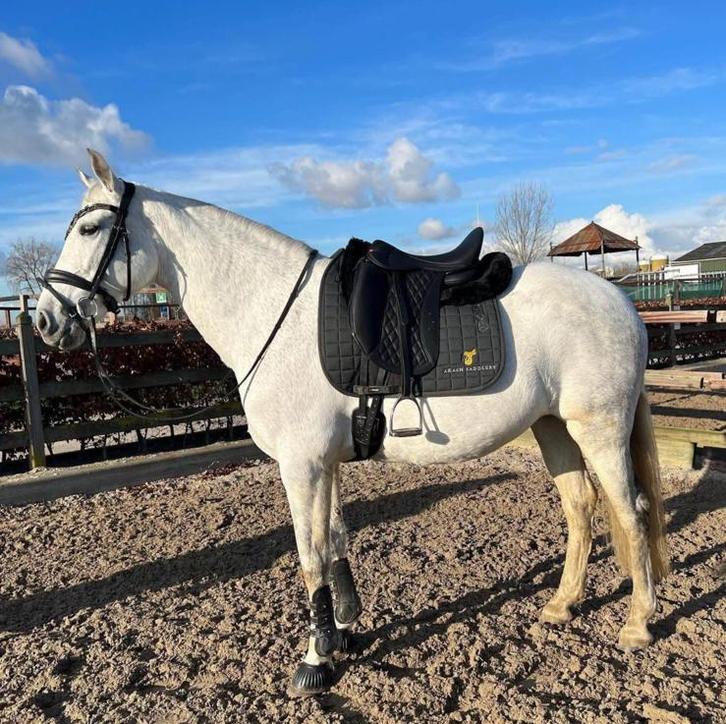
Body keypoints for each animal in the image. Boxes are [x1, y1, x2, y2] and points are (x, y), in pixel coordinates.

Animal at [35, 149, 669, 696]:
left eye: (90, 230)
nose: (44, 320)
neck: (271, 311)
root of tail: (622, 303)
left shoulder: (302, 466)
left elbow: (310, 554)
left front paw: (315, 660)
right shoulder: (325, 463)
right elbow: (335, 542)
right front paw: (344, 630)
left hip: (599, 429)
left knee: (630, 512)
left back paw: (638, 623)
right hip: (552, 426)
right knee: (582, 508)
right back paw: (561, 605)